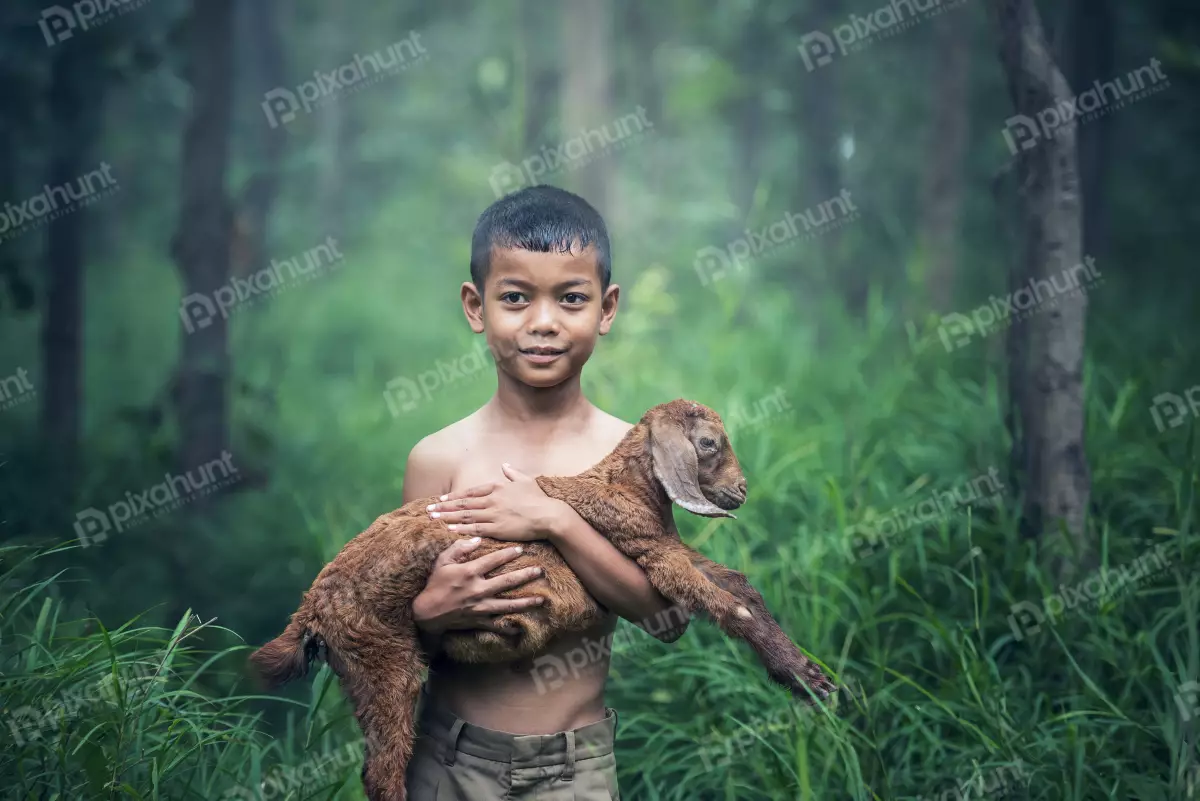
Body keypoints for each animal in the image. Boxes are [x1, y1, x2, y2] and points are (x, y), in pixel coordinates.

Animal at [253, 400, 835, 801]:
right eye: (710, 443)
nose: (741, 491)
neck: (625, 487)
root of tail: (311, 610)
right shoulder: (652, 554)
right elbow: (732, 607)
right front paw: (804, 676)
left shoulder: (668, 548)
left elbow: (740, 585)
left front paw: (808, 676)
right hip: (381, 660)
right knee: (382, 769)